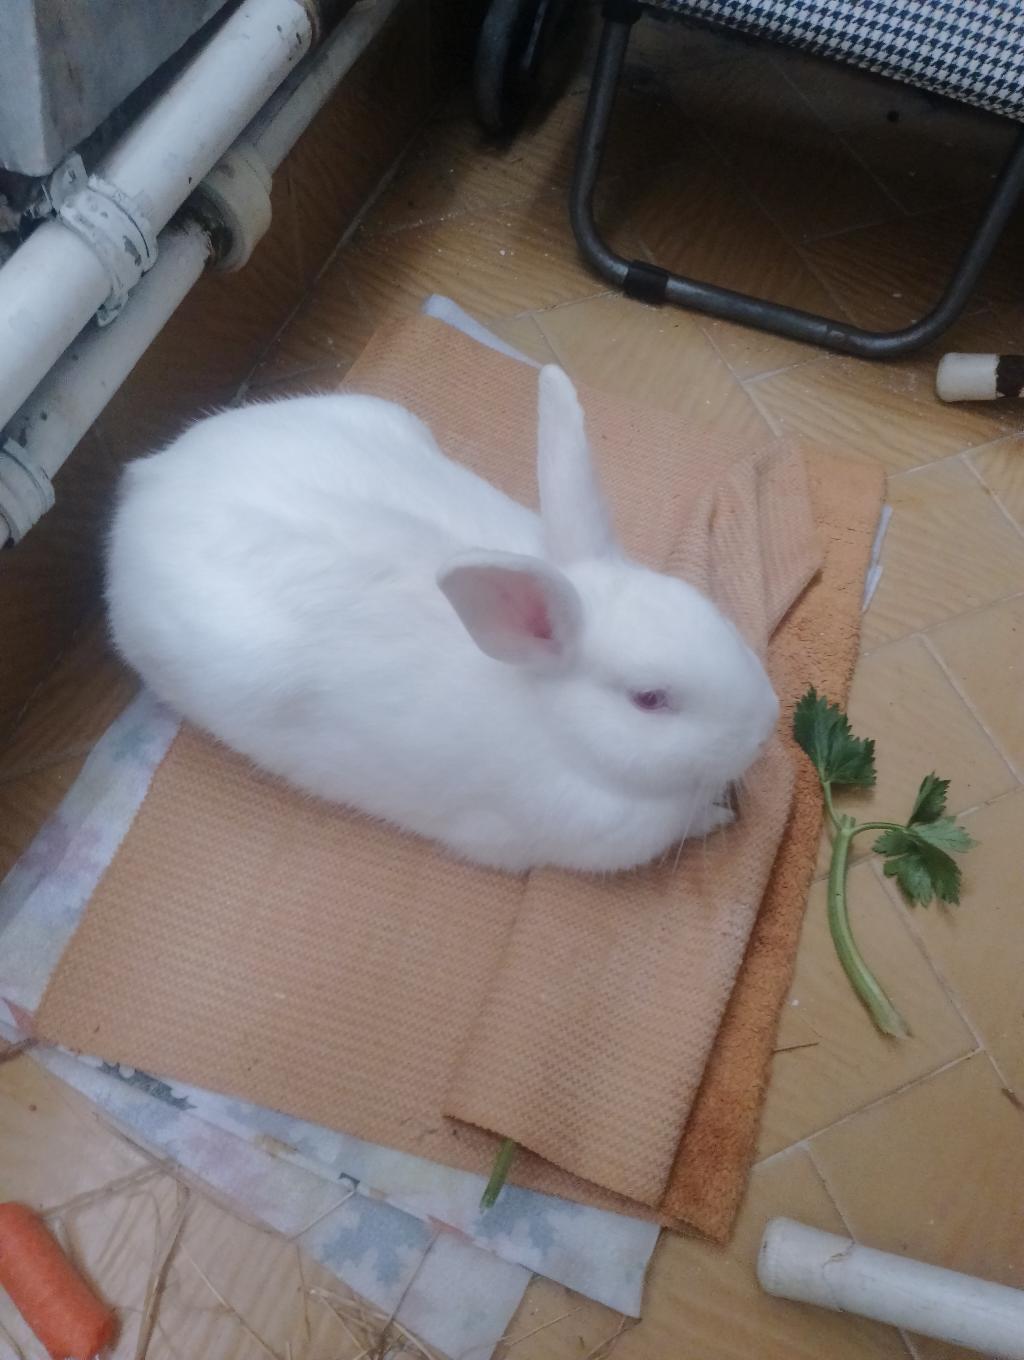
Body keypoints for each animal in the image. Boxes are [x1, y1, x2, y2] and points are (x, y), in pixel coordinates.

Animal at [106, 364, 779, 874]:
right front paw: (717, 816)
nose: (767, 723)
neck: (556, 726)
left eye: (709, 611)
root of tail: (149, 482)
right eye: (649, 699)